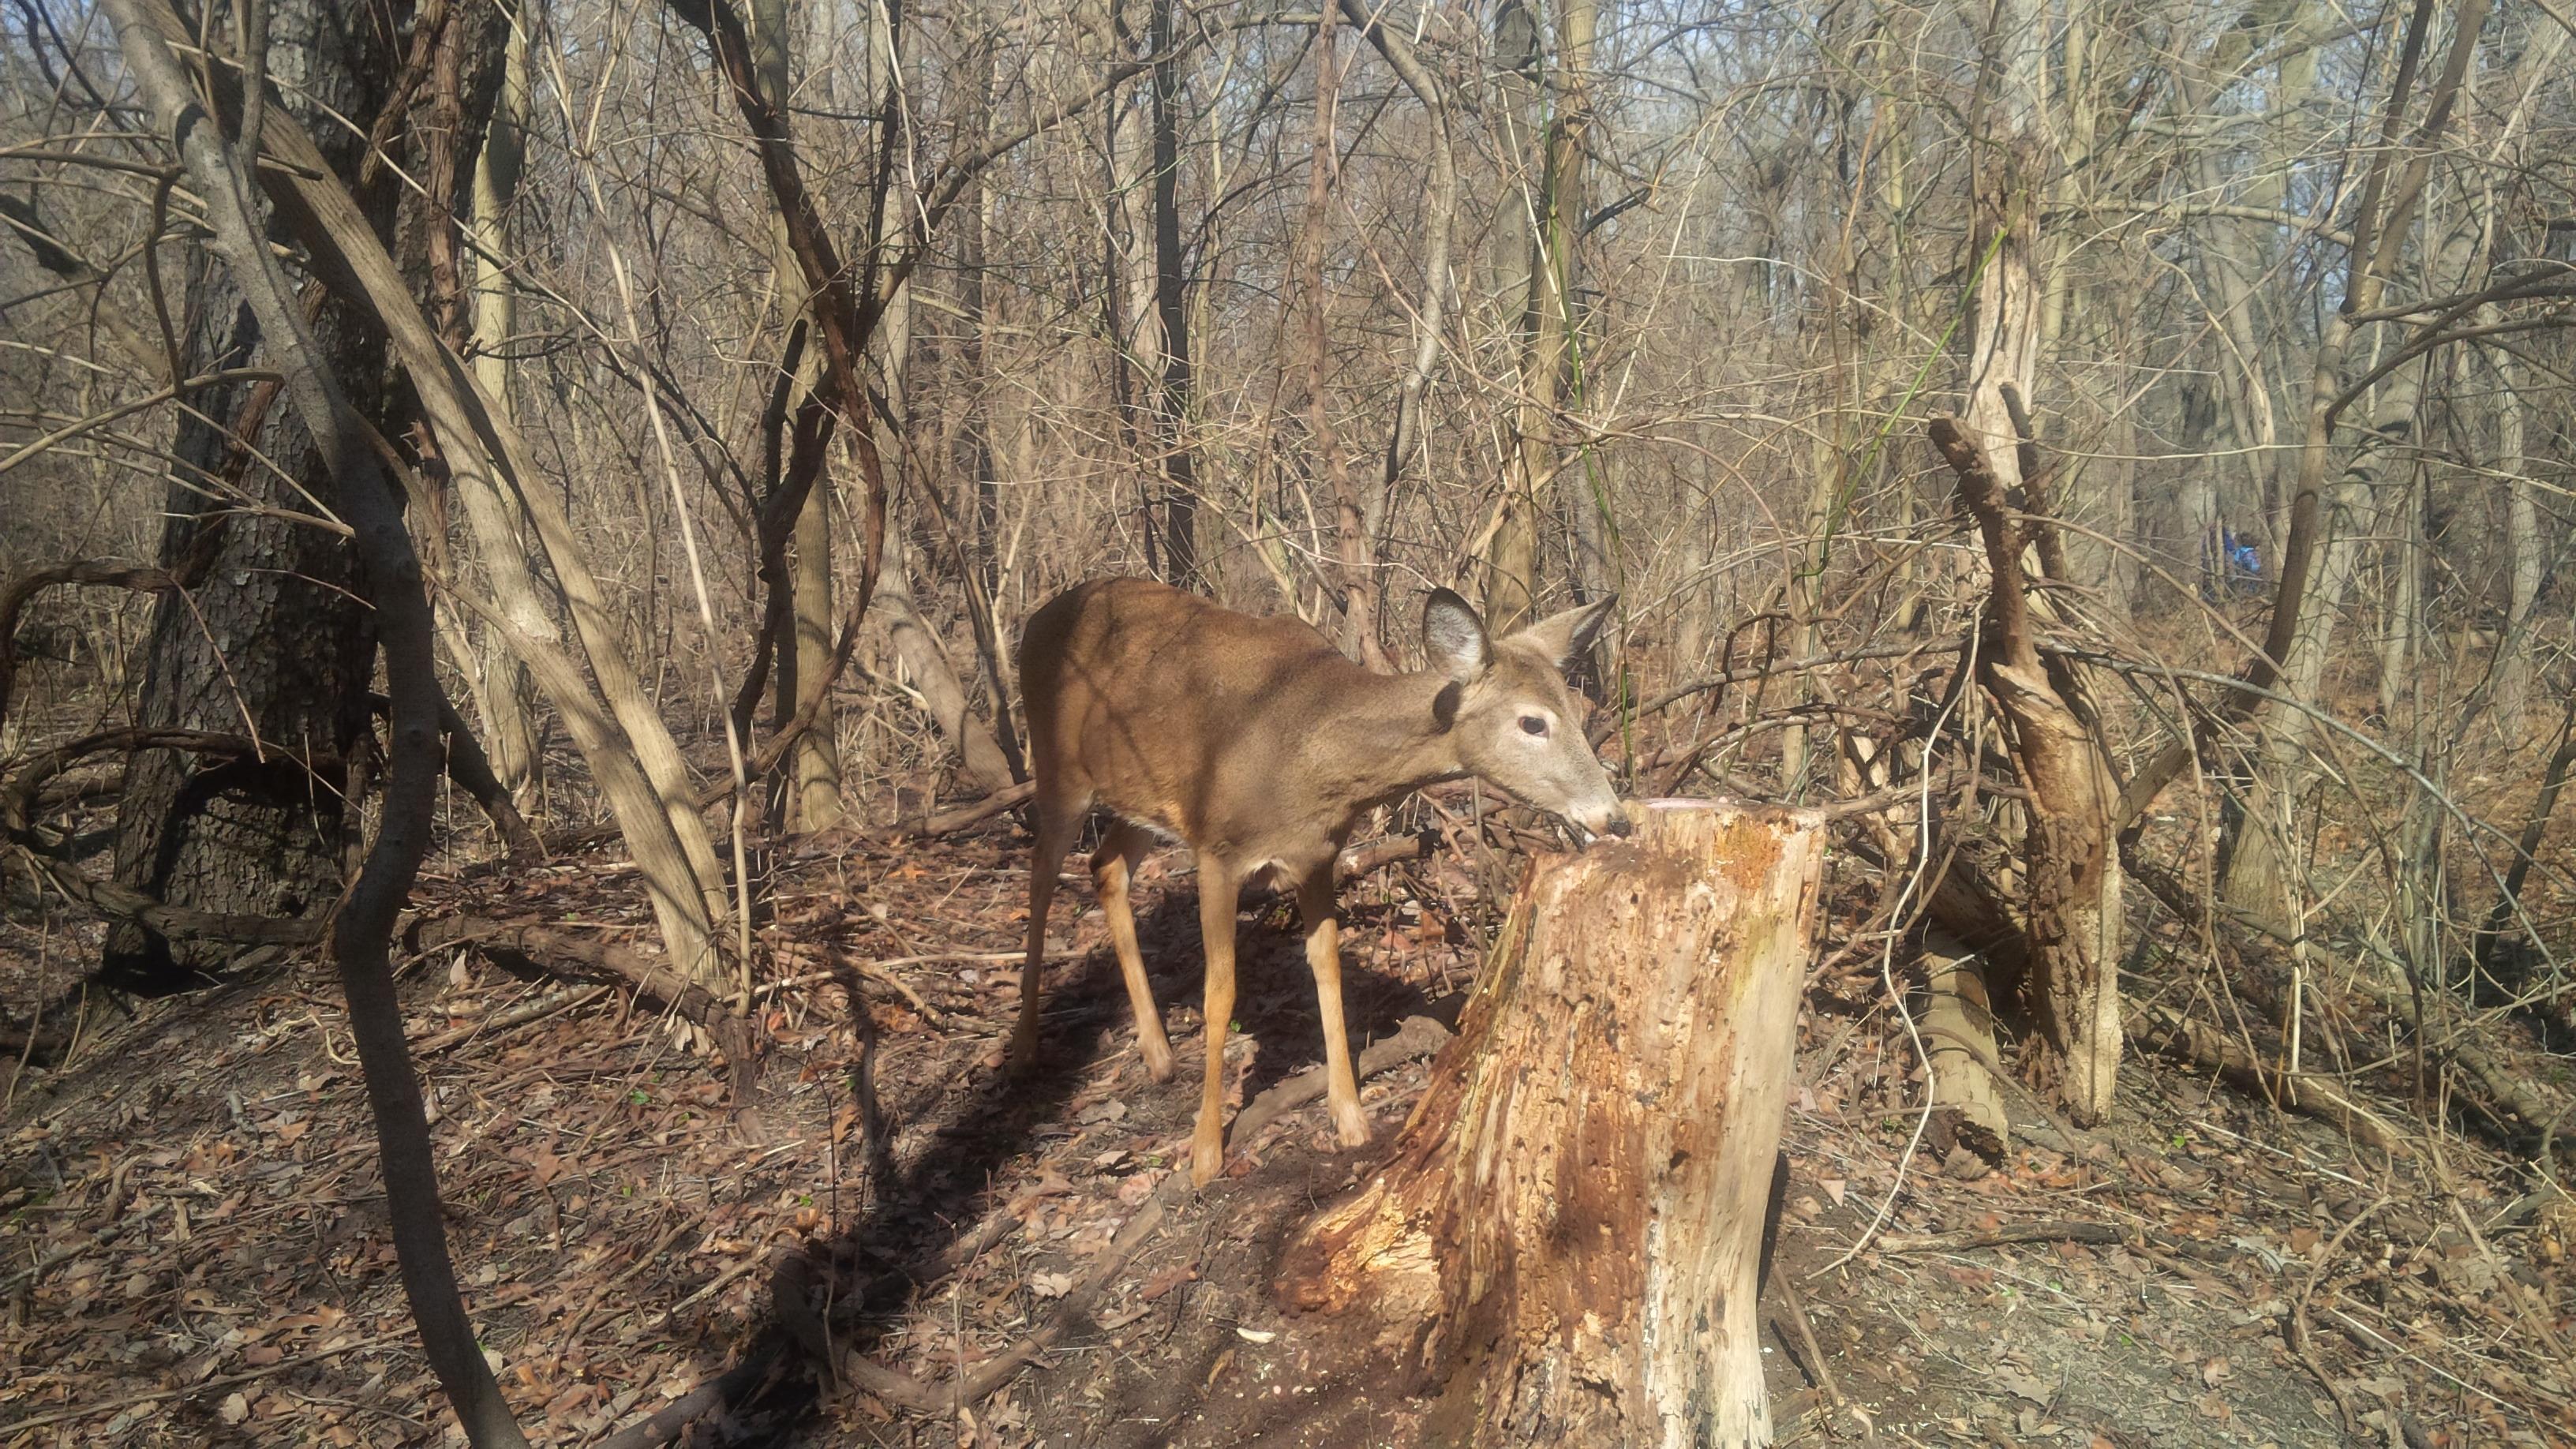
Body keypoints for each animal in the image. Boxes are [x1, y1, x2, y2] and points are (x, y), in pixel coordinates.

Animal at [1009, 575, 1627, 1185]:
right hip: (1059, 768)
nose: (1615, 818)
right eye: (1532, 721)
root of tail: (1040, 617)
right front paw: (1206, 1153)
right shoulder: (1218, 851)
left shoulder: (1317, 858)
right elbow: (1220, 993)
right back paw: (1025, 1044)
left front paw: (1350, 1116)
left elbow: (1327, 968)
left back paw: (1158, 1054)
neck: (1314, 763)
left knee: (1105, 867)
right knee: (1041, 873)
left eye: (1577, 711)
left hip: (1140, 798)